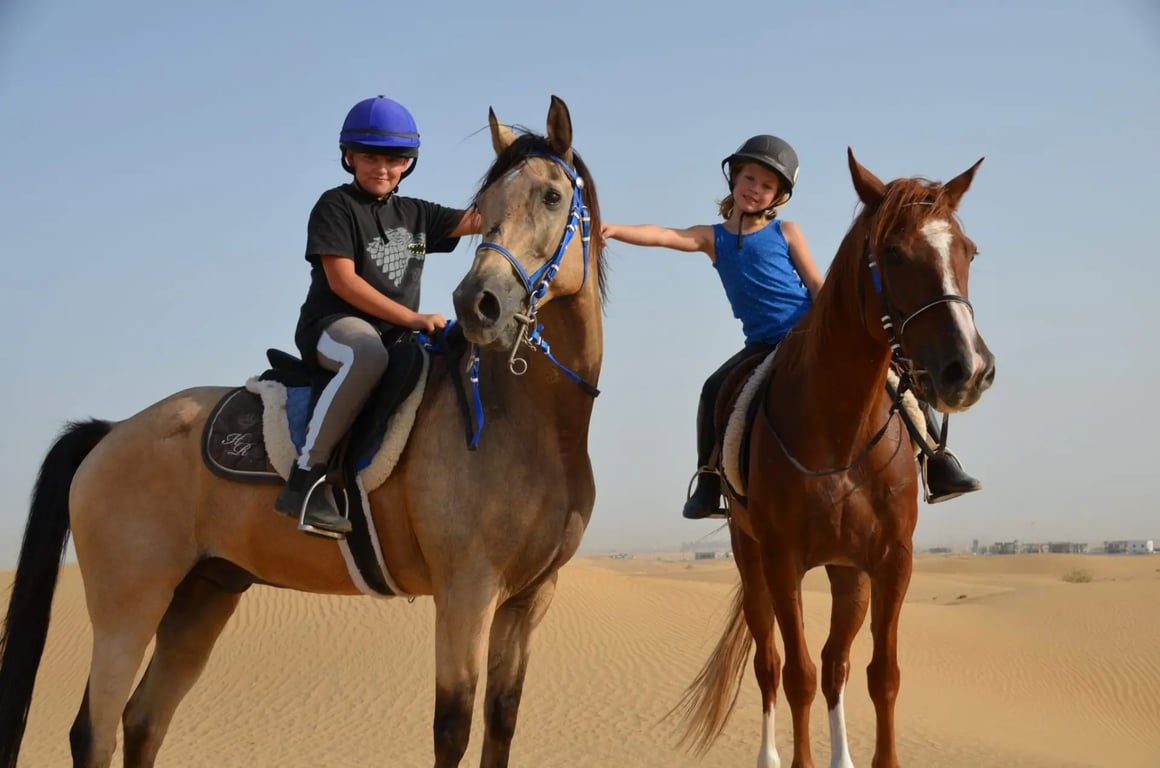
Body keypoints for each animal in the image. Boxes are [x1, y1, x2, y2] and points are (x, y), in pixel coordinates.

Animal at [0, 96, 612, 768]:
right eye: (488, 203)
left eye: (552, 196)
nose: (479, 303)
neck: (531, 424)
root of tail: (112, 433)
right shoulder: (466, 592)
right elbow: (452, 728)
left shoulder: (527, 600)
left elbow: (501, 723)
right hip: (128, 605)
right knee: (96, 730)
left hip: (203, 596)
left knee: (144, 721)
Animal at [672, 150, 997, 768]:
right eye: (892, 253)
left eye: (968, 251)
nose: (968, 371)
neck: (841, 436)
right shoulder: (782, 563)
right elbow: (794, 674)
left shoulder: (891, 562)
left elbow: (881, 675)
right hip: (751, 560)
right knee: (772, 665)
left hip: (848, 573)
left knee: (835, 664)